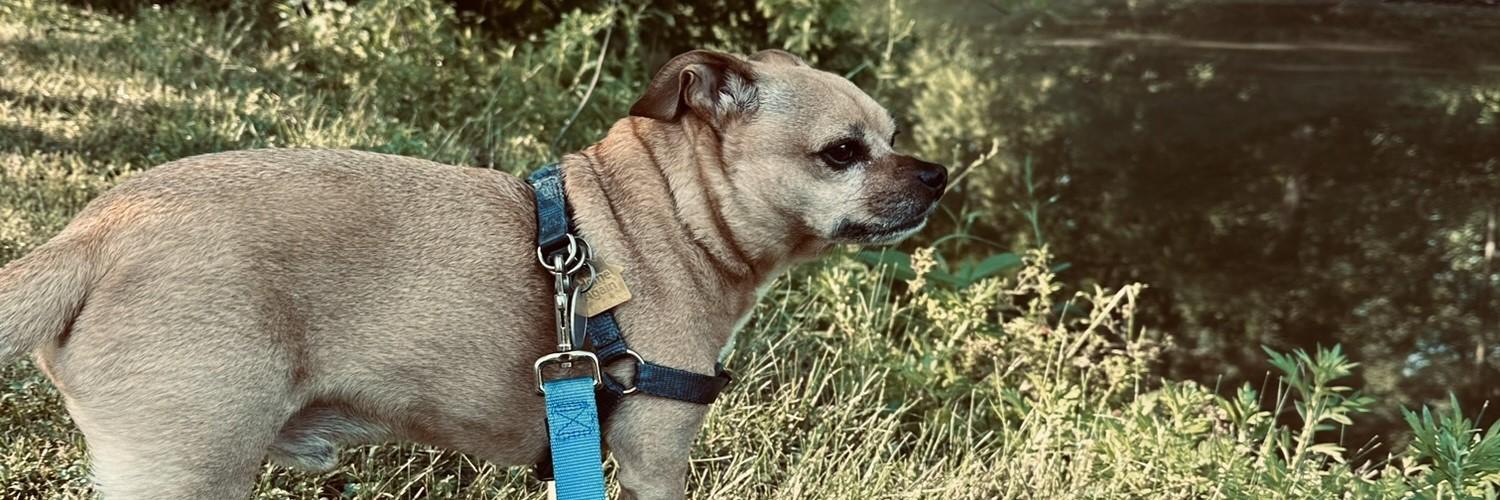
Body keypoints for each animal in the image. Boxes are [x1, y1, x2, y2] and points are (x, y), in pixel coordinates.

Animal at [0, 49, 947, 499]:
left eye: (894, 136)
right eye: (842, 153)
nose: (938, 175)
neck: (663, 214)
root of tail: (92, 235)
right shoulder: (652, 461)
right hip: (191, 469)